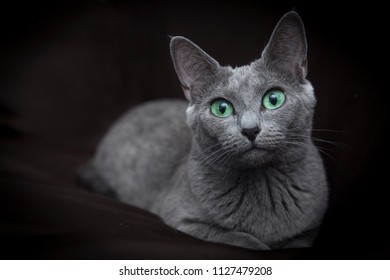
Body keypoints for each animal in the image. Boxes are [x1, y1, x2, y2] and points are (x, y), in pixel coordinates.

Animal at [79, 12, 330, 250]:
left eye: (274, 99)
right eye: (221, 108)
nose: (250, 129)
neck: (264, 184)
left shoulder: (311, 228)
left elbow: (298, 243)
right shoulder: (182, 219)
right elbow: (243, 239)